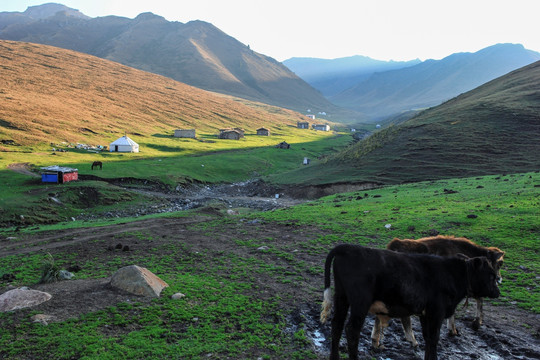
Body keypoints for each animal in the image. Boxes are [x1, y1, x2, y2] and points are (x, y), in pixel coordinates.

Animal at [318, 243, 500, 360]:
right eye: (491, 274)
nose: (497, 292)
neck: (453, 274)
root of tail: (347, 248)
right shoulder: (437, 312)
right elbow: (434, 338)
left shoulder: (426, 314)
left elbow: (428, 339)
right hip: (360, 302)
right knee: (351, 330)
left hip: (342, 297)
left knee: (337, 325)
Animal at [372, 235, 506, 350]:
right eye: (499, 263)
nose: (499, 279)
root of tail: (395, 245)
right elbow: (476, 301)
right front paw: (462, 327)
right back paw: (412, 341)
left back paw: (376, 341)